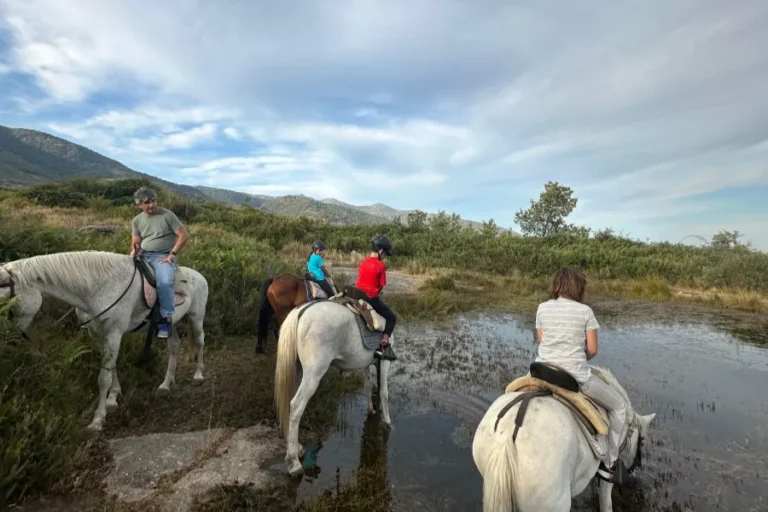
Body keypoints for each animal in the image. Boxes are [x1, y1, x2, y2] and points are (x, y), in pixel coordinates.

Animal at [0, 250, 208, 432]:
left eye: (9, 304)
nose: (10, 340)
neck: (99, 287)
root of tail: (199, 276)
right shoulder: (99, 335)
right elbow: (111, 367)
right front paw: (112, 398)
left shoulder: (114, 333)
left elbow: (103, 378)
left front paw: (98, 420)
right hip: (169, 325)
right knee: (174, 346)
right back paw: (165, 384)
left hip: (196, 318)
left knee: (200, 342)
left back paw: (198, 375)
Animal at [274, 299, 393, 476]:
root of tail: (301, 311)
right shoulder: (384, 362)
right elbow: (384, 392)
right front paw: (387, 421)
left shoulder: (365, 364)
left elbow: (367, 387)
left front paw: (371, 409)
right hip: (313, 374)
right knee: (296, 406)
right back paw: (294, 462)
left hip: (297, 371)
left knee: (288, 402)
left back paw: (297, 448)